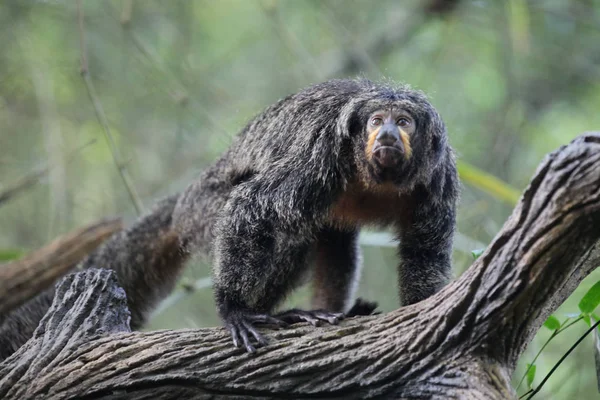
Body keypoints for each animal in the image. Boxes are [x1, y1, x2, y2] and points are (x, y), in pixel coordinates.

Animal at [0, 78, 454, 360]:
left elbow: (424, 254)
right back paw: (278, 314)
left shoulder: (438, 179)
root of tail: (186, 199)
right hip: (205, 211)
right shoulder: (321, 155)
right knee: (285, 234)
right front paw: (234, 310)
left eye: (403, 122)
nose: (389, 135)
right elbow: (253, 207)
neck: (374, 178)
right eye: (377, 121)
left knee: (331, 239)